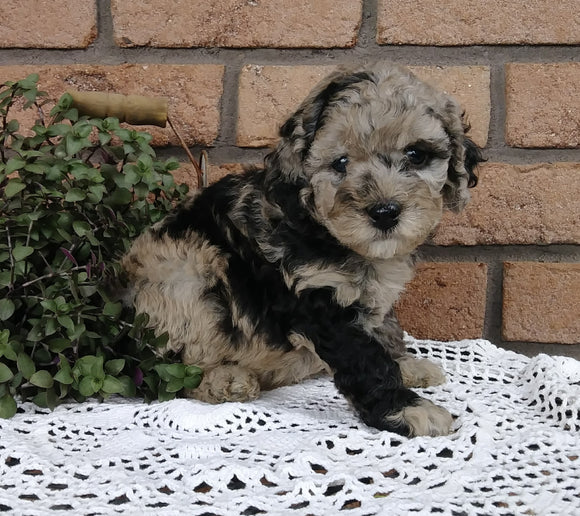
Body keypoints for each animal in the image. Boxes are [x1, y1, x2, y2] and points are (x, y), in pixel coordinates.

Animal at [120, 62, 482, 438]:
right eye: (340, 163)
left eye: (416, 155)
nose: (385, 212)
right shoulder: (317, 294)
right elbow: (363, 356)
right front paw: (407, 410)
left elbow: (383, 331)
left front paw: (406, 364)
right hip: (184, 278)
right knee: (163, 372)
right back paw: (225, 381)